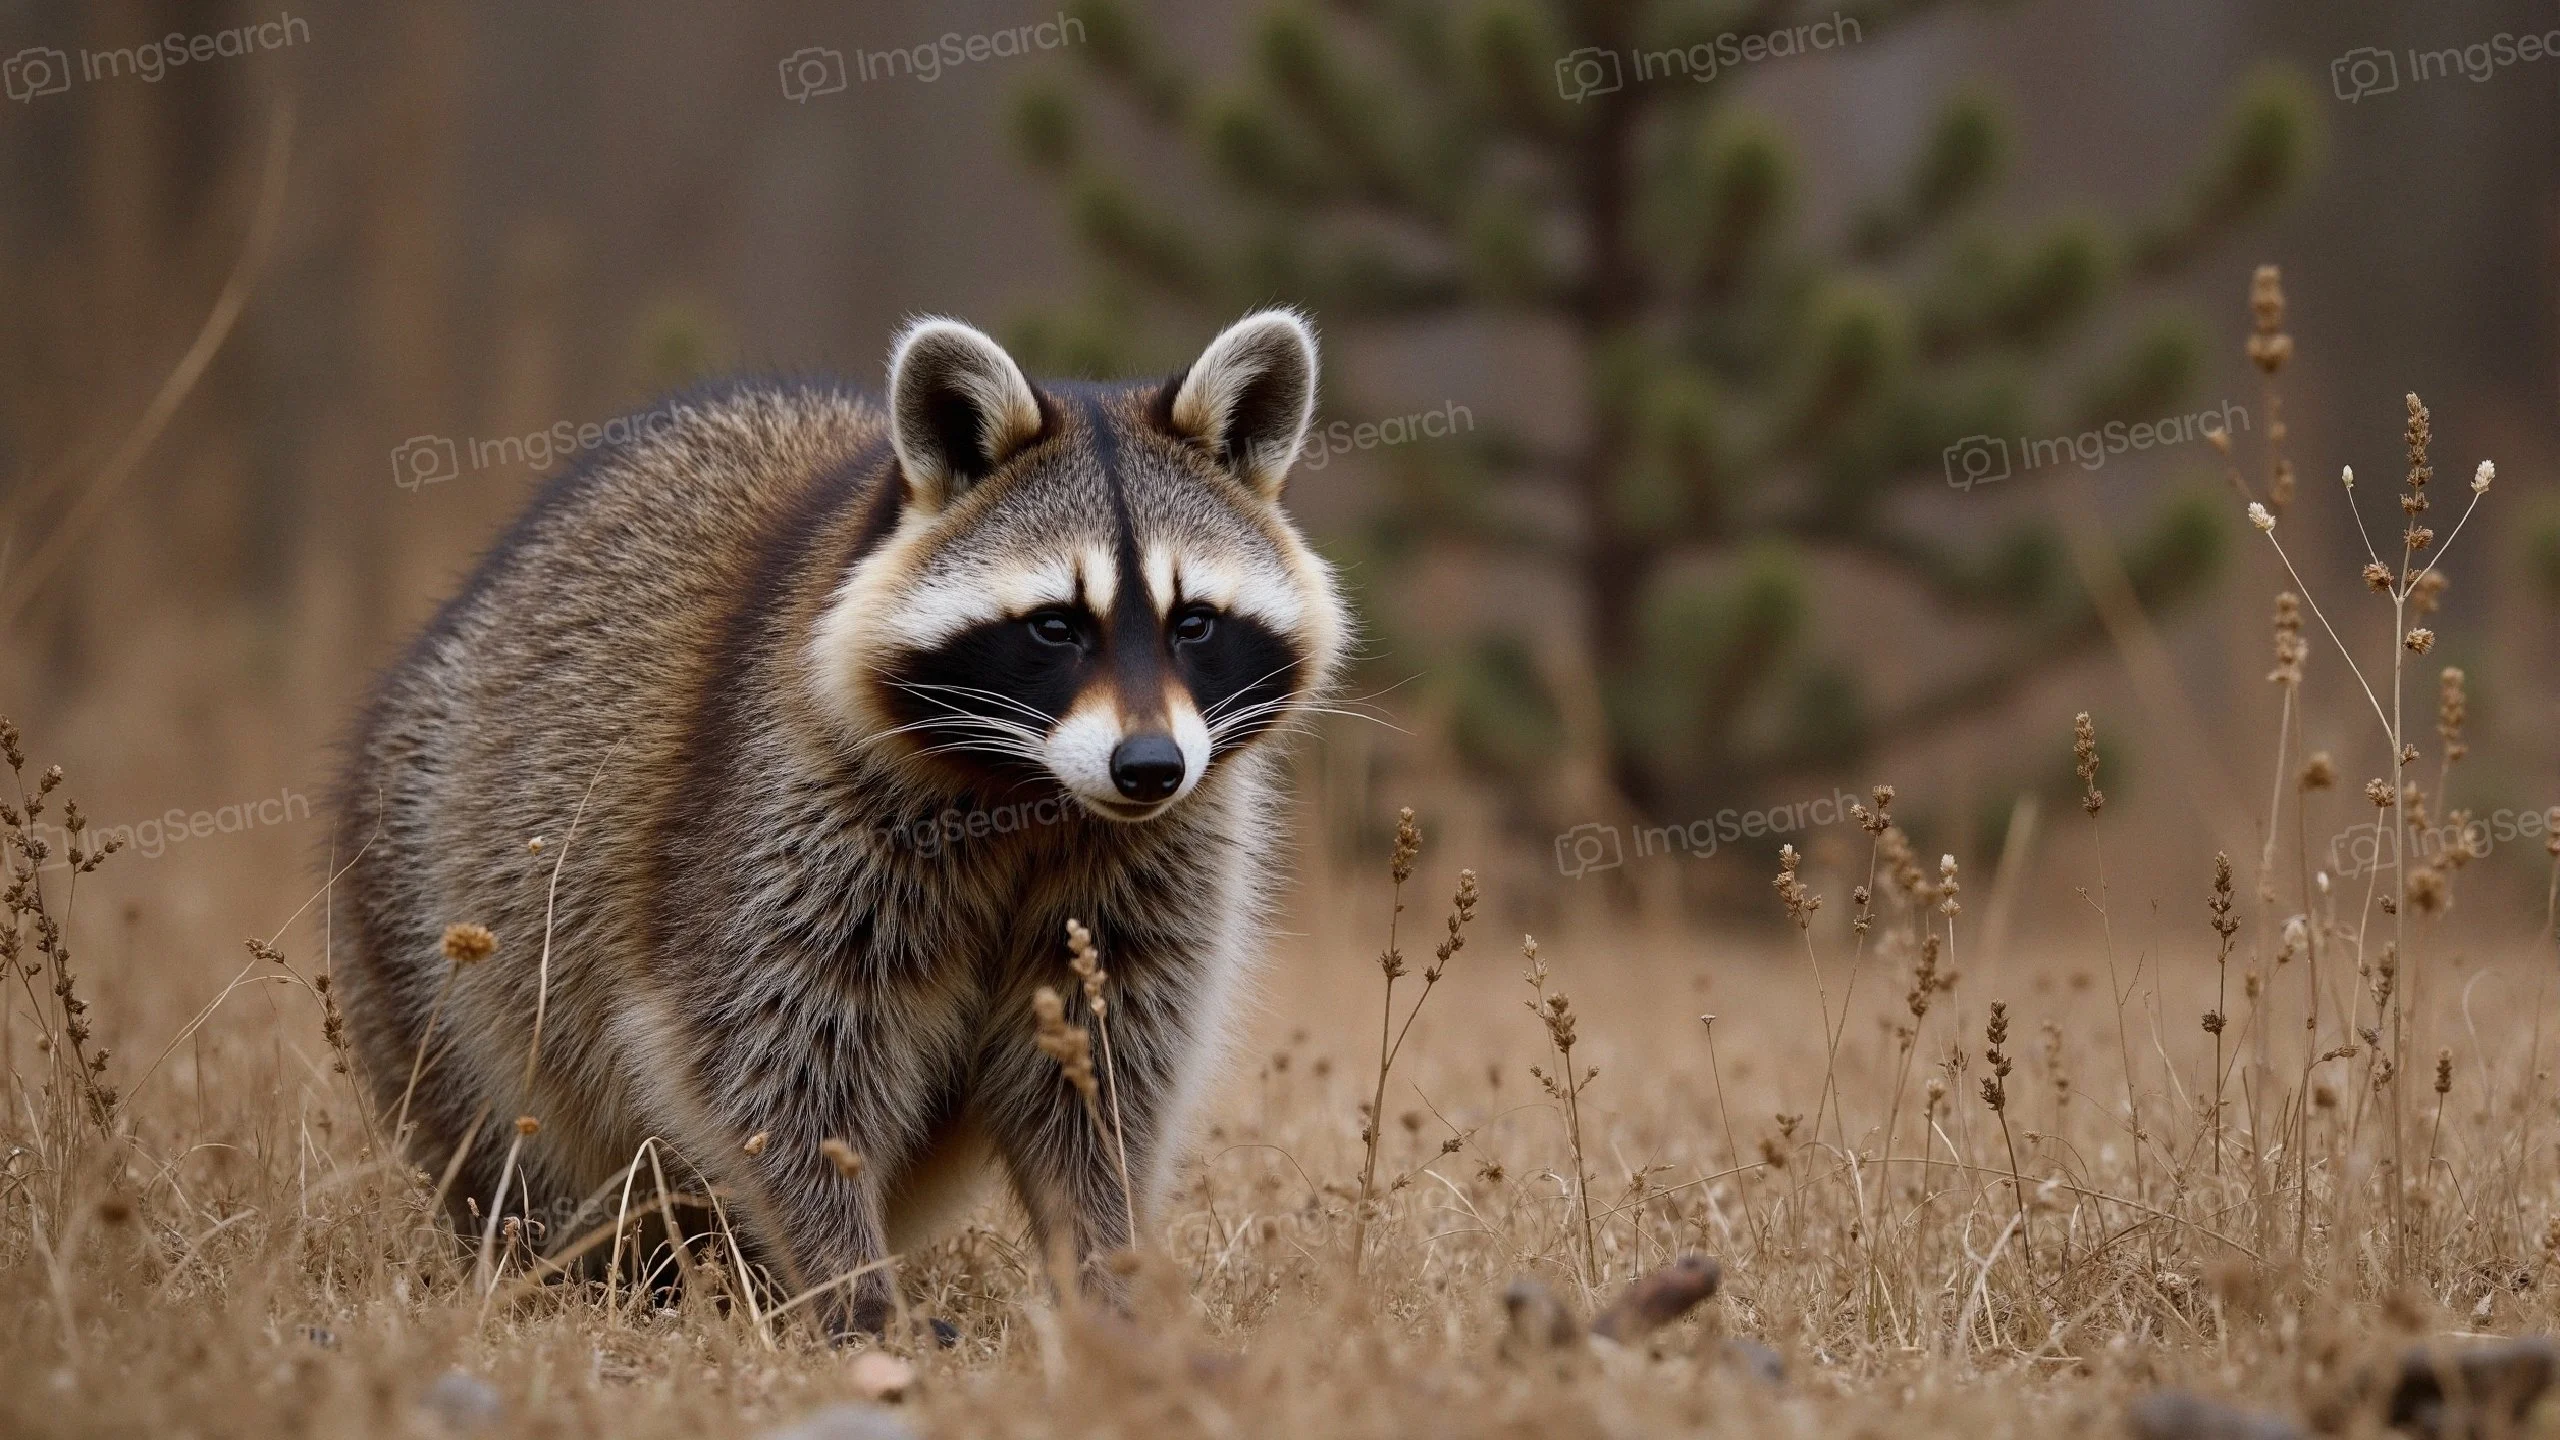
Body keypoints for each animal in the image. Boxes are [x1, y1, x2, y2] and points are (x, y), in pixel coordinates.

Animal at [333, 311, 1347, 1331]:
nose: (1149, 768)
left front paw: (1106, 1270)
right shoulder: (780, 803)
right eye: (1056, 627)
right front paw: (849, 1285)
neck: (1036, 796)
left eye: (1195, 623)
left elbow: (1098, 1071)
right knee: (500, 1099)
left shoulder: (1157, 858)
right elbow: (777, 1056)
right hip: (427, 935)